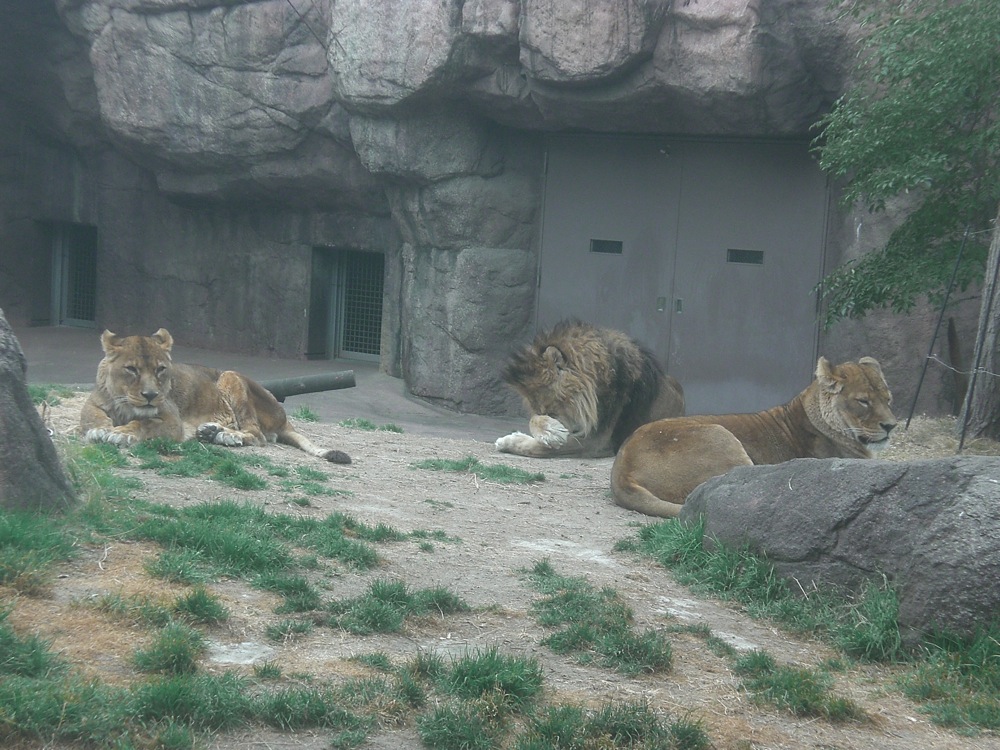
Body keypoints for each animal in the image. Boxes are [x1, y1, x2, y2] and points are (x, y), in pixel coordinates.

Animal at [79, 328, 351, 463]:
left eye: (160, 369)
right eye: (131, 369)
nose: (150, 395)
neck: (126, 402)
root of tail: (283, 416)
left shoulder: (172, 421)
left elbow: (143, 423)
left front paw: (120, 433)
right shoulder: (92, 403)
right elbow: (92, 418)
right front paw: (101, 429)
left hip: (231, 375)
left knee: (258, 435)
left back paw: (225, 436)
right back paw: (211, 432)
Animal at [495, 320, 685, 458]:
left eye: (553, 410)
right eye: (544, 411)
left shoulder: (598, 441)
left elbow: (541, 448)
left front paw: (510, 441)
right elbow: (534, 420)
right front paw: (549, 432)